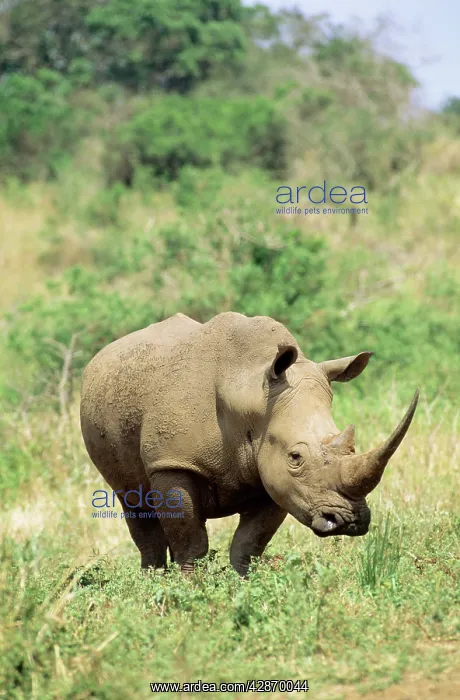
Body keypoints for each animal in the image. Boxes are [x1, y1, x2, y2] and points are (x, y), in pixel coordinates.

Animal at [80, 312, 418, 576]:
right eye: (296, 457)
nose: (349, 521)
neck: (251, 393)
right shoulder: (173, 462)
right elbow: (190, 543)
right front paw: (189, 592)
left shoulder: (272, 472)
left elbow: (248, 546)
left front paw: (244, 586)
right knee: (134, 504)